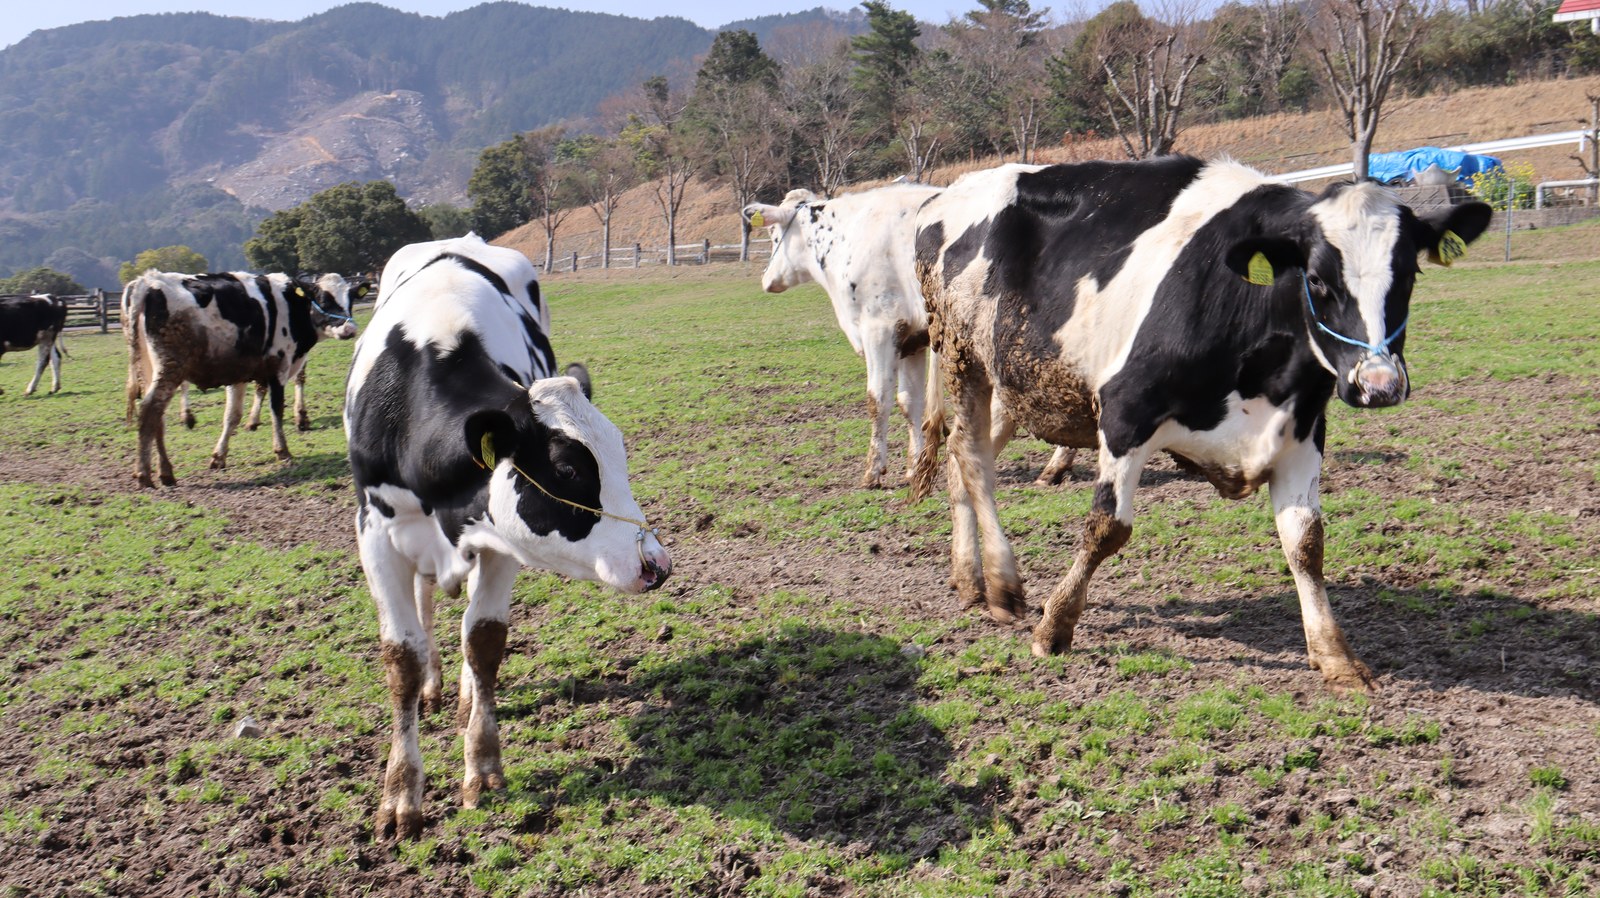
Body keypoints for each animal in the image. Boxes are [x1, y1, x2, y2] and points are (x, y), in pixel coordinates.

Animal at [122, 270, 361, 487]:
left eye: (350, 299)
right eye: (324, 299)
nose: (350, 329)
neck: (290, 303)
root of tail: (148, 281)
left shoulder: (238, 374)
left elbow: (232, 415)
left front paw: (219, 457)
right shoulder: (278, 368)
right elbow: (276, 410)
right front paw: (282, 450)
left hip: (151, 369)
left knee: (157, 417)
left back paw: (166, 472)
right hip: (170, 368)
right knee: (150, 410)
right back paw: (145, 474)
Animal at [345, 234, 670, 839]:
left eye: (620, 454)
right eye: (566, 469)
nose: (655, 564)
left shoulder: (503, 544)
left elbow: (484, 639)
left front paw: (483, 767)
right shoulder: (374, 532)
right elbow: (402, 656)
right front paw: (400, 796)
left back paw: (465, 695)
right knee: (426, 606)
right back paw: (436, 685)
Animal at [742, 184, 941, 488]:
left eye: (774, 235)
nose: (767, 280)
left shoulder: (879, 329)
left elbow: (878, 398)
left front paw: (873, 471)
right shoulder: (913, 338)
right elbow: (909, 401)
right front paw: (915, 468)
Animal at [911, 157, 1491, 693]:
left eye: (1410, 274)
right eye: (1317, 279)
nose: (1378, 384)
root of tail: (942, 198)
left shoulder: (1303, 431)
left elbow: (1306, 542)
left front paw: (1336, 656)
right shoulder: (1125, 412)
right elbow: (1107, 528)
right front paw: (1055, 627)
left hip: (1011, 380)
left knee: (960, 460)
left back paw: (969, 579)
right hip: (962, 355)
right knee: (973, 459)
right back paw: (1003, 586)